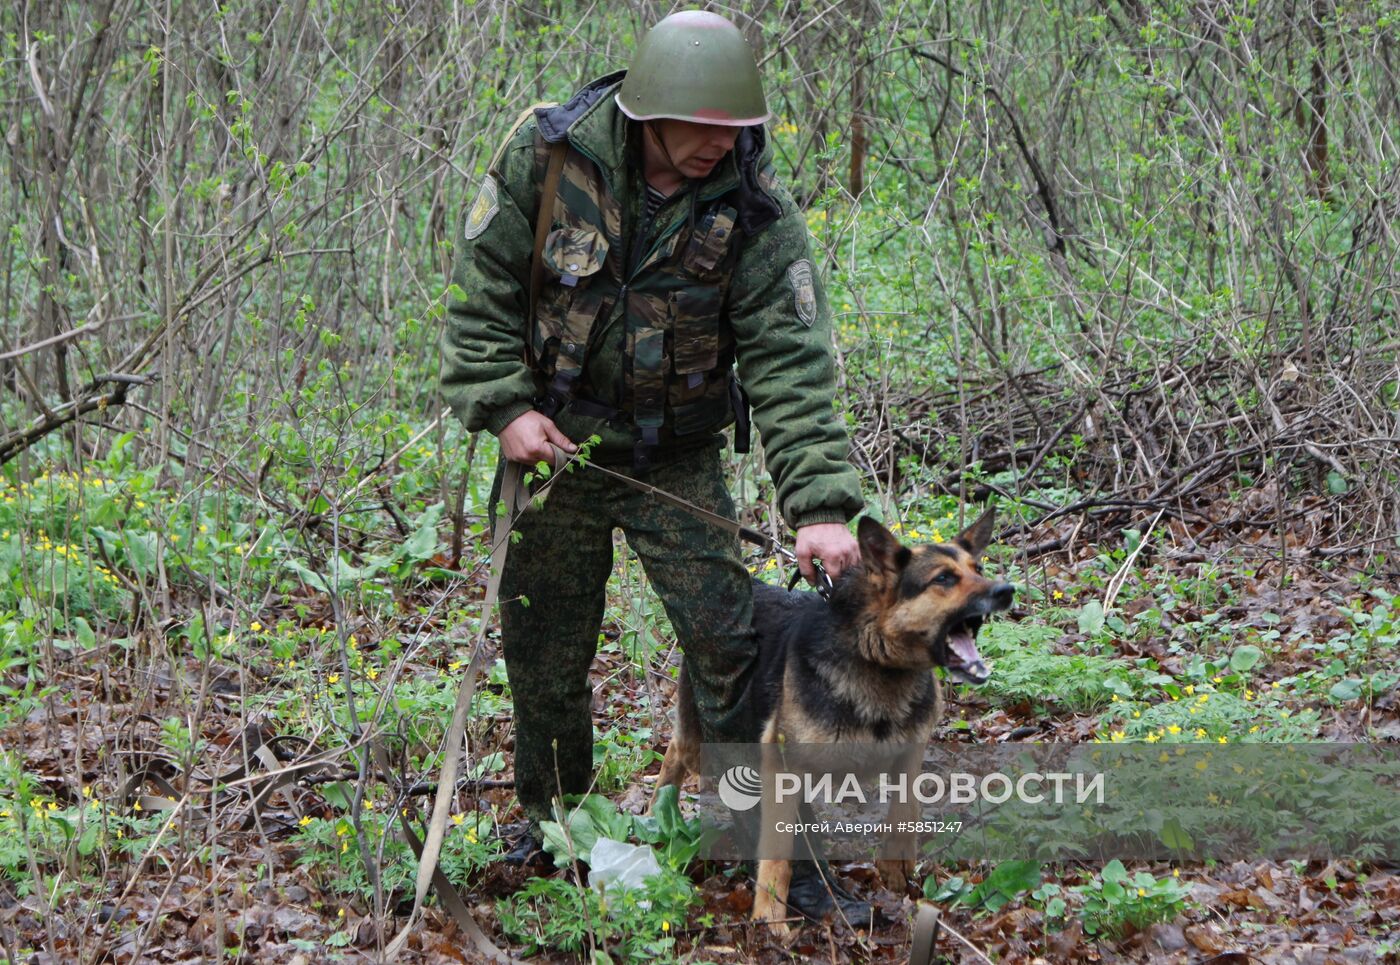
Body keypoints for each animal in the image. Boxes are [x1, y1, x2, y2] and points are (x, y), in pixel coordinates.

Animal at [649, 507, 1013, 929]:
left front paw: (895, 867)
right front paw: (770, 918)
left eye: (978, 568)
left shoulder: (910, 751)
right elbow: (777, 851)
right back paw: (656, 813)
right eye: (943, 579)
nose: (1007, 591)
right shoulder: (779, 764)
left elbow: (905, 808)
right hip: (702, 743)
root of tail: (754, 583)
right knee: (675, 753)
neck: (875, 659)